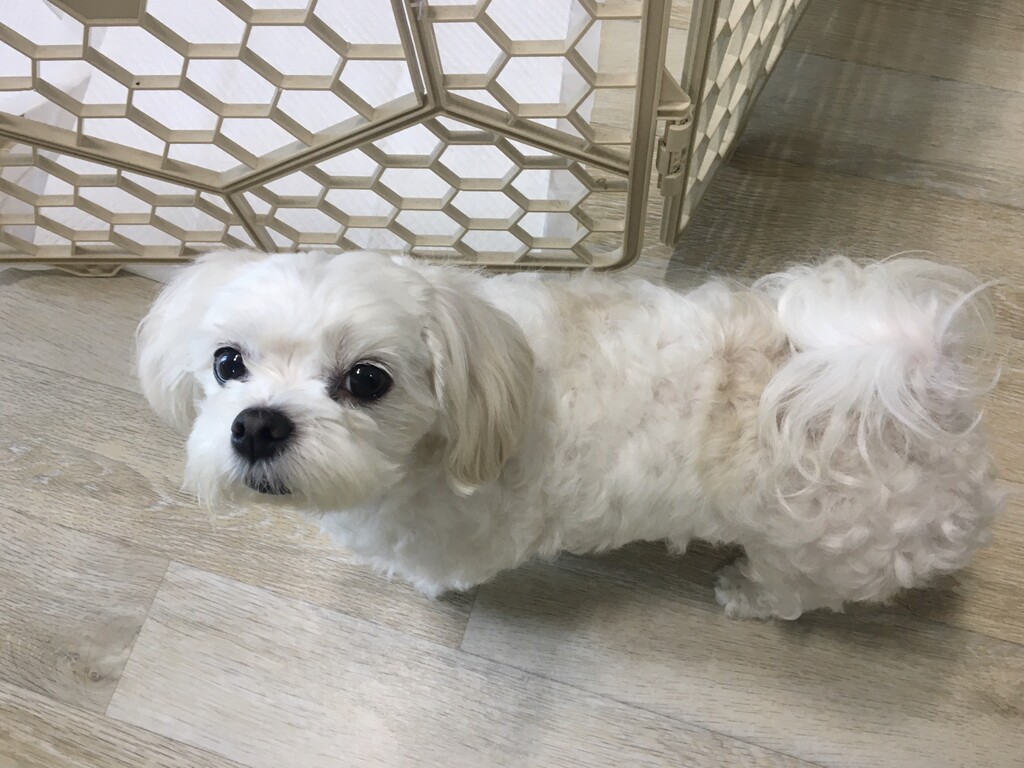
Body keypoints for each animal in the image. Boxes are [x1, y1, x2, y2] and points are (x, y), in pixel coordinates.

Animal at [136, 250, 1002, 619]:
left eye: (368, 380)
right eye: (227, 362)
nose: (258, 424)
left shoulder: (456, 545)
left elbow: (437, 573)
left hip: (817, 555)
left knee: (794, 592)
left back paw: (744, 594)